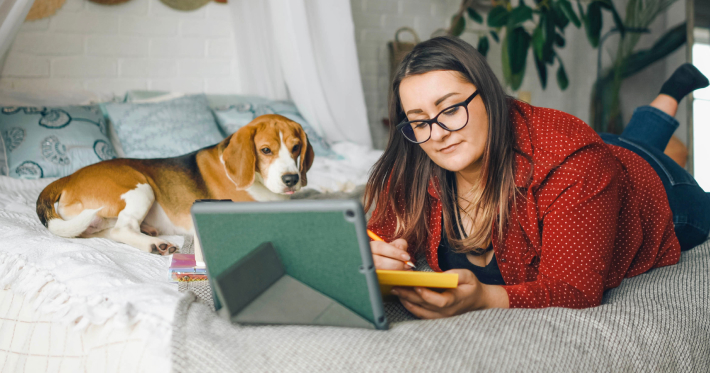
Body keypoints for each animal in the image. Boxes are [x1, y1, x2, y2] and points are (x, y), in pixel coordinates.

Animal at [36, 115, 314, 260]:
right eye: (265, 150)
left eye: (296, 147)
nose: (292, 179)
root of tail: (67, 177)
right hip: (141, 188)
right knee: (122, 229)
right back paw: (152, 244)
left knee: (106, 232)